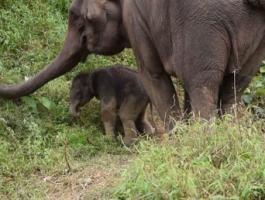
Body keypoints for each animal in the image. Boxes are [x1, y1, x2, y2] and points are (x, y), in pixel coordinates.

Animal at [0, 0, 264, 130]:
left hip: (203, 23)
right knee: (234, 85)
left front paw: (178, 138)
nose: (74, 116)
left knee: (203, 84)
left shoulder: (136, 20)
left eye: (74, 15)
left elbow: (152, 74)